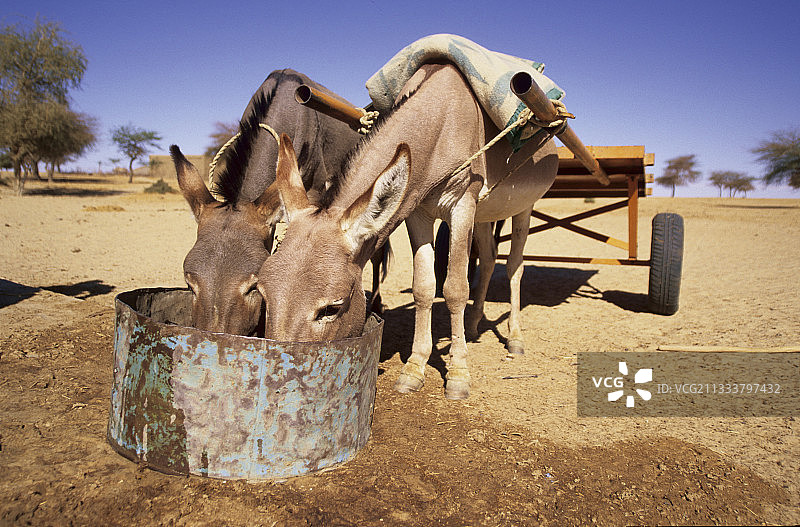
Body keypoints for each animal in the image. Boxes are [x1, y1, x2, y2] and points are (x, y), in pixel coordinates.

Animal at [257, 63, 558, 398]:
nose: (275, 388)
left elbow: (455, 288)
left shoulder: (462, 204)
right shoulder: (417, 212)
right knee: (491, 257)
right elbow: (423, 288)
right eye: (263, 295)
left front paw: (458, 375)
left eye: (331, 309)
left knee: (515, 265)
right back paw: (473, 325)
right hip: (485, 215)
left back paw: (515, 337)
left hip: (524, 208)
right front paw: (414, 368)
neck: (441, 116)